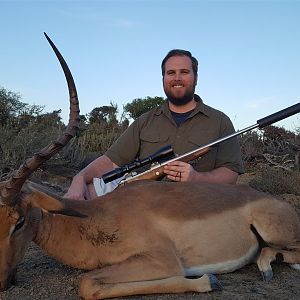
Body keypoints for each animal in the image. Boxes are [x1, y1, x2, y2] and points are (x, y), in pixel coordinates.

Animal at [0, 34, 300, 298]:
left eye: (20, 221)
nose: (2, 283)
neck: (95, 217)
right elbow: (90, 284)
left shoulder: (163, 260)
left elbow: (87, 284)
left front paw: (209, 280)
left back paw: (266, 266)